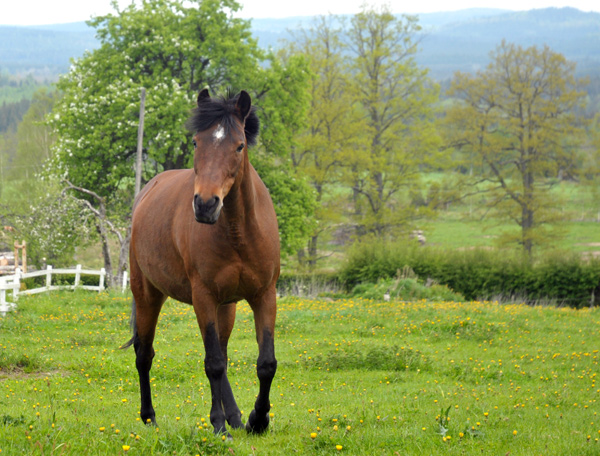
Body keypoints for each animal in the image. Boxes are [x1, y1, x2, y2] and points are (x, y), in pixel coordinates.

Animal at [122, 89, 280, 437]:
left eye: (239, 145)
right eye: (196, 142)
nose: (206, 204)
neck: (237, 231)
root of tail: (146, 192)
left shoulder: (264, 295)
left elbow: (265, 364)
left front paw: (257, 419)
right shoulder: (203, 297)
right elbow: (213, 363)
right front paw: (219, 424)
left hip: (227, 306)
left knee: (222, 350)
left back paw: (236, 416)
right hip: (148, 295)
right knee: (144, 354)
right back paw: (149, 417)